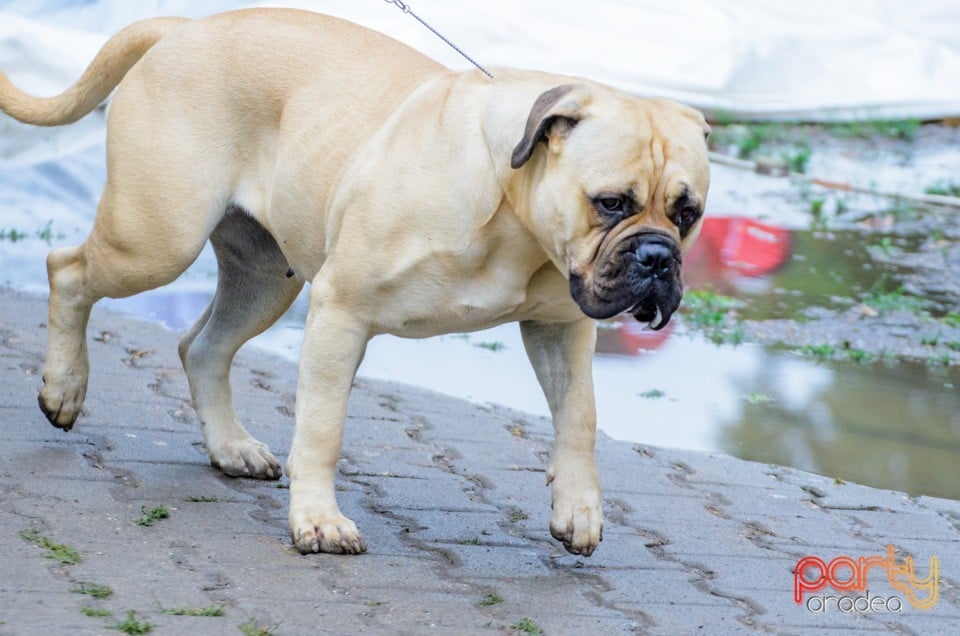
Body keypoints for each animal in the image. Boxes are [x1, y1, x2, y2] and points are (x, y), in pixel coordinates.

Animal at [0, 7, 704, 556]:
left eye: (687, 213)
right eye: (610, 203)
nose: (657, 258)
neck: (511, 214)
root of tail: (183, 28)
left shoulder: (560, 329)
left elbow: (579, 416)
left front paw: (578, 508)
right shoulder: (341, 314)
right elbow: (322, 429)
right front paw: (318, 522)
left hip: (266, 278)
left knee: (202, 347)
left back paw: (231, 448)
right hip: (155, 240)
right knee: (68, 270)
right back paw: (63, 388)